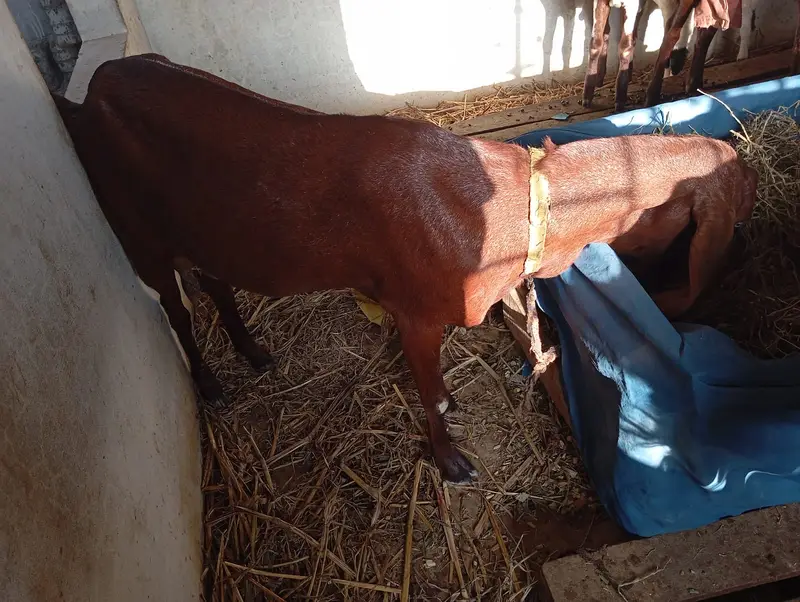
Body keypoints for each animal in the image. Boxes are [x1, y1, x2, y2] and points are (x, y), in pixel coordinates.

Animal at [52, 54, 757, 483]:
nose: (750, 172)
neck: (514, 208)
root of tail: (94, 86)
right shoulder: (415, 313)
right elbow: (433, 397)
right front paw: (453, 463)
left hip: (203, 228)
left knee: (213, 280)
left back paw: (252, 351)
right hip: (138, 228)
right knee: (174, 306)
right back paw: (211, 383)